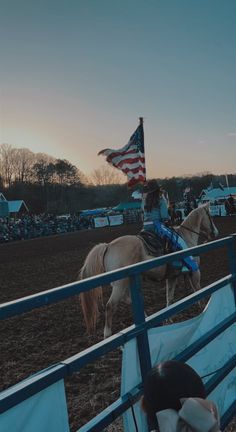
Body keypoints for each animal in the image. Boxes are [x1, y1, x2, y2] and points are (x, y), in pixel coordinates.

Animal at [79, 204, 218, 340]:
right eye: (210, 216)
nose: (216, 232)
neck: (186, 236)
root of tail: (108, 246)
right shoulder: (195, 272)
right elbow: (198, 290)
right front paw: (203, 308)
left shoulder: (172, 277)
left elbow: (170, 297)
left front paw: (168, 319)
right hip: (120, 284)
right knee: (110, 306)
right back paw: (107, 334)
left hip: (123, 283)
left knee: (127, 299)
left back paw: (146, 319)